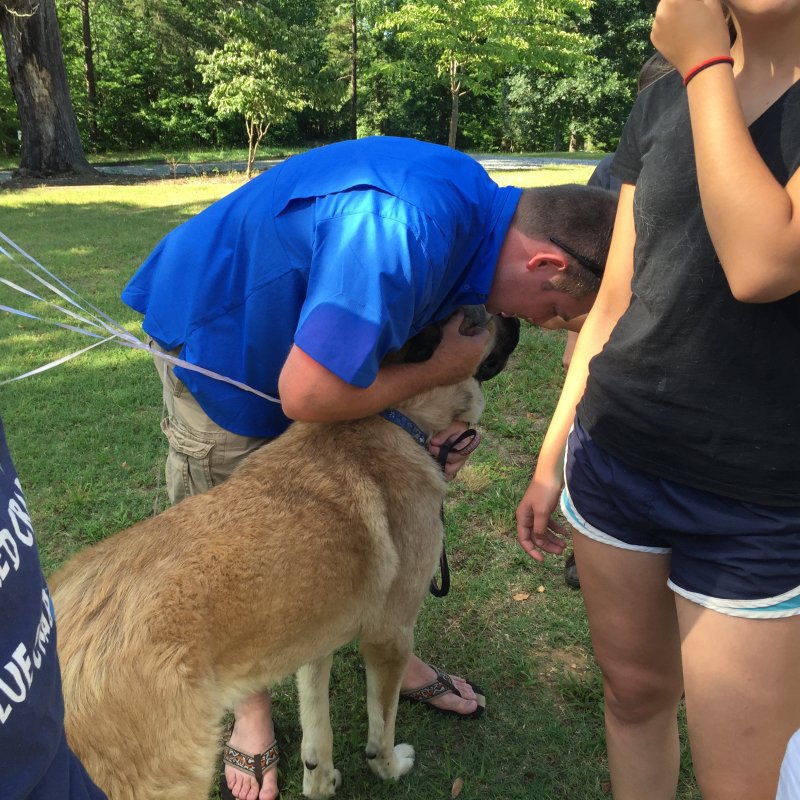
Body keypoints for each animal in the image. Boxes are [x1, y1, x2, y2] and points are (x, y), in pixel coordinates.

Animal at [50, 310, 520, 800]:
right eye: (481, 319)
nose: (515, 318)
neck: (392, 417)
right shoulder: (390, 636)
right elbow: (381, 727)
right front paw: (389, 766)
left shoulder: (315, 633)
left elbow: (317, 727)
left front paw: (320, 780)